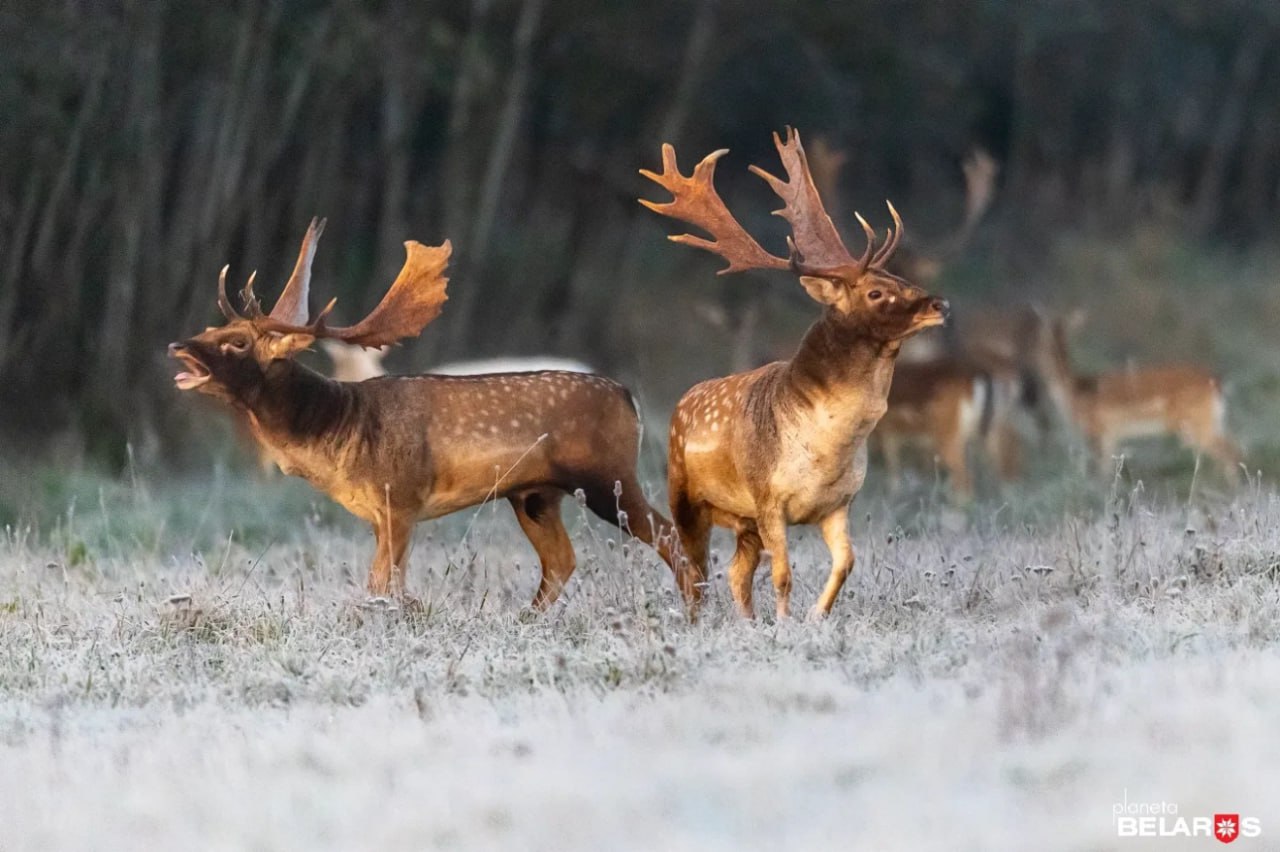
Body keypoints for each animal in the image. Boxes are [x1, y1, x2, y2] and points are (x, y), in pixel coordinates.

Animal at [1029, 310, 1249, 478]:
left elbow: (1102, 474)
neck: (1075, 393)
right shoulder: (1111, 436)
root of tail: (1217, 383)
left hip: (1195, 424)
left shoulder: (1100, 432)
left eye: (1040, 338)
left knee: (1231, 452)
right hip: (1214, 421)